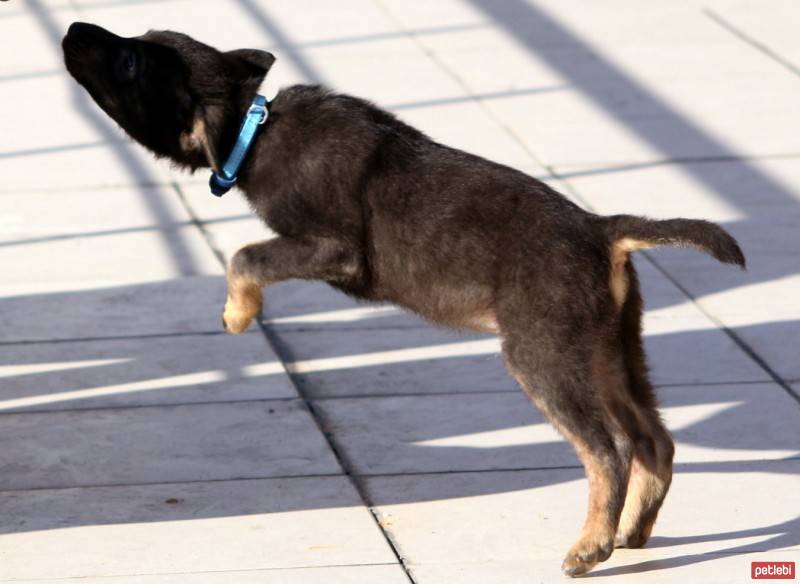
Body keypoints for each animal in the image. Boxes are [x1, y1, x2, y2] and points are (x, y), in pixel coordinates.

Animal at [61, 21, 744, 576]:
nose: (73, 29)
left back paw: (591, 546)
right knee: (655, 441)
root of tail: (602, 230)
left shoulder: (331, 248)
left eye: (130, 63)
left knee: (610, 450)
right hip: (610, 351)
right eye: (137, 40)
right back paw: (632, 533)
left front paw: (238, 312)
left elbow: (245, 255)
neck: (253, 130)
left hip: (544, 356)